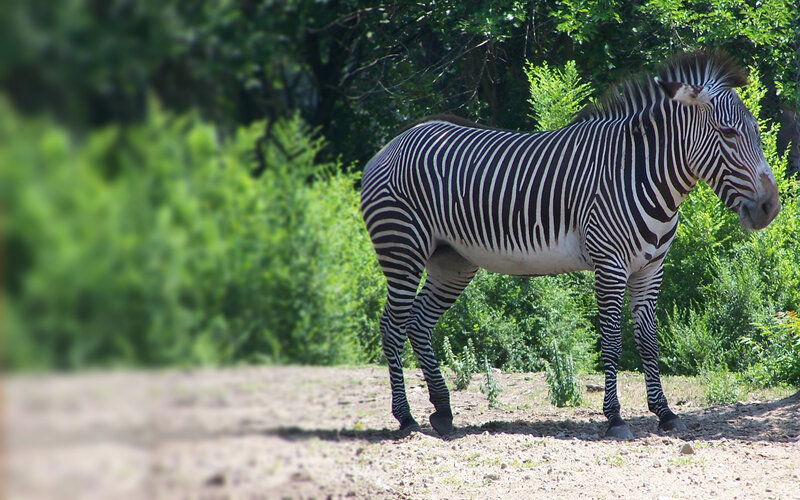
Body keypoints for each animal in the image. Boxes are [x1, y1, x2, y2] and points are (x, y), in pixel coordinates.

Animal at [360, 52, 780, 440]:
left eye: (757, 133)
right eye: (728, 133)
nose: (770, 208)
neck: (640, 173)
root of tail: (390, 145)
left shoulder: (650, 269)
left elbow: (648, 341)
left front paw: (665, 413)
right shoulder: (610, 265)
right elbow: (611, 342)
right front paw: (615, 418)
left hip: (452, 262)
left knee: (418, 322)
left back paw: (443, 412)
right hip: (402, 248)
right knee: (392, 325)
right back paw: (406, 418)